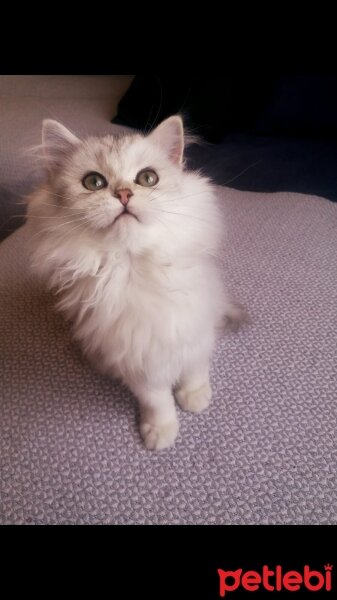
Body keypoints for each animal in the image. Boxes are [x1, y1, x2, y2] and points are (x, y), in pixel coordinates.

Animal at [25, 115, 243, 448]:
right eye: (94, 182)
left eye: (147, 178)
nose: (124, 194)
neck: (134, 268)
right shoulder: (136, 360)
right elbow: (157, 400)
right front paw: (160, 432)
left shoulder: (194, 331)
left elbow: (194, 369)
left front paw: (195, 398)